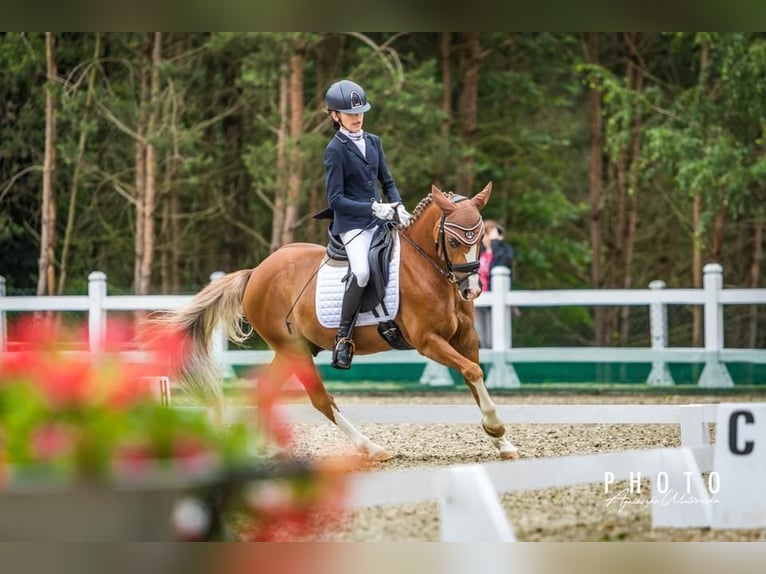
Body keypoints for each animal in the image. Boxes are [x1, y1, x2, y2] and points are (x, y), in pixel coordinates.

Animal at [152, 182, 519, 461]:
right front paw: (496, 428)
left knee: (265, 390)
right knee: (320, 399)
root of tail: (256, 272)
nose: (471, 290)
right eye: (454, 241)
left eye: (479, 238)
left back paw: (261, 449)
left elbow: (473, 375)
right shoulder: (428, 341)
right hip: (294, 349)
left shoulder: (465, 338)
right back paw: (370, 448)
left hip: (293, 349)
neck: (428, 270)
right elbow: (473, 371)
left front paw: (502, 441)